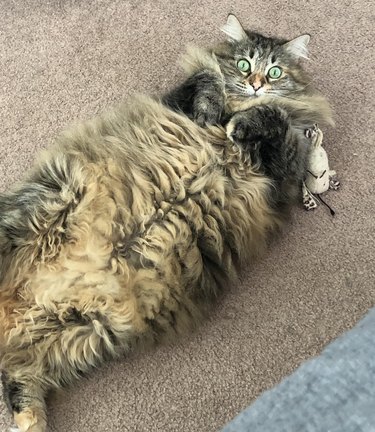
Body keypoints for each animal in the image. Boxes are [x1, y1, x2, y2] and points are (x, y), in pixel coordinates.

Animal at [1, 13, 334, 432]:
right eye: (245, 65)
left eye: (274, 71)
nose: (257, 83)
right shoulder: (180, 100)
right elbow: (207, 79)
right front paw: (217, 114)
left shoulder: (283, 173)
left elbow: (278, 119)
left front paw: (243, 123)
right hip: (47, 203)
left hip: (85, 330)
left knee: (17, 378)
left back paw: (29, 422)